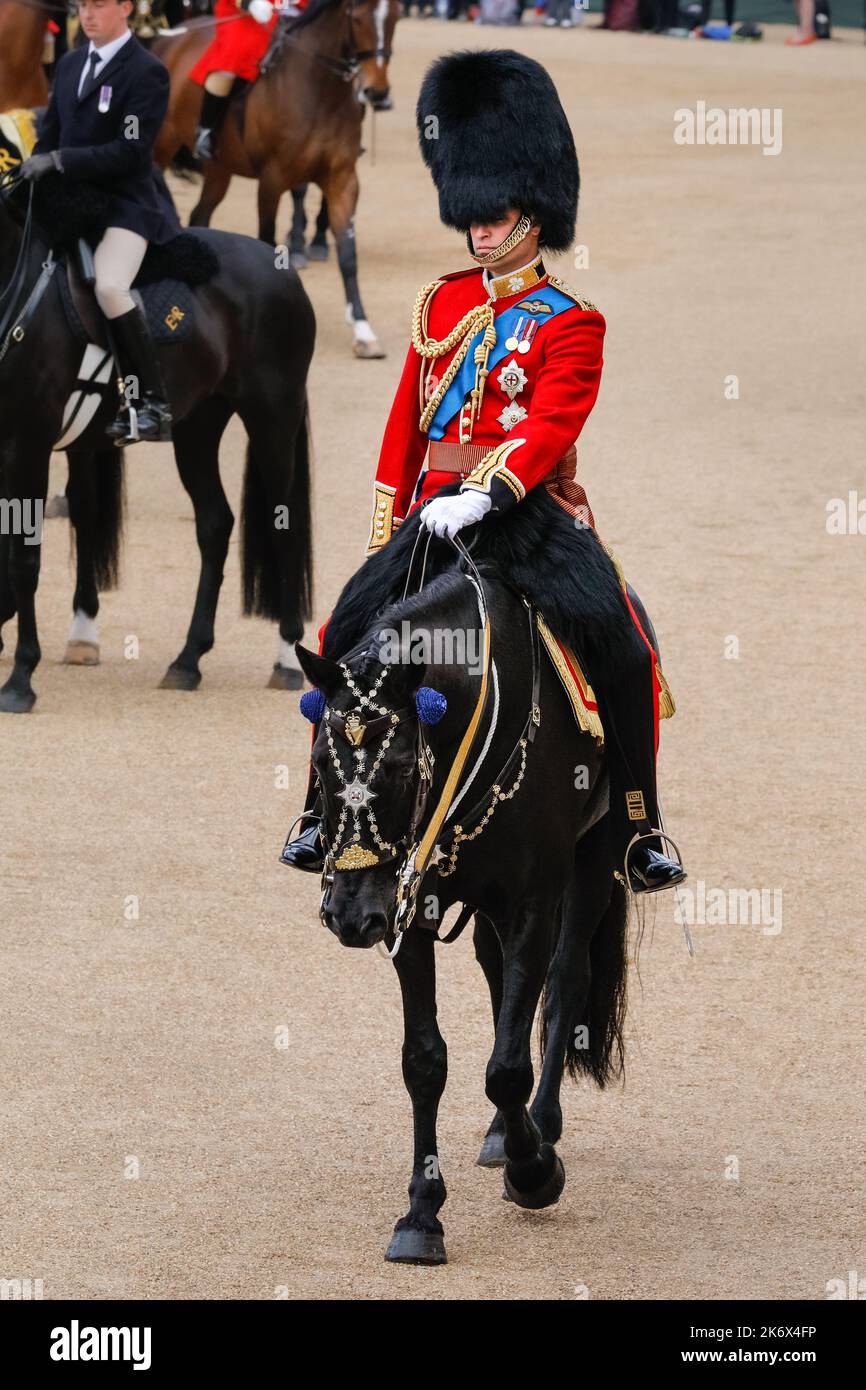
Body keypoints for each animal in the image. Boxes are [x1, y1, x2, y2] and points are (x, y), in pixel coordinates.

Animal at [0, 164, 316, 714]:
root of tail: (278, 265)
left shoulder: (28, 445)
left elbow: (24, 558)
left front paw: (20, 678)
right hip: (197, 428)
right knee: (215, 523)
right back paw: (188, 660)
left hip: (272, 417)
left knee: (285, 524)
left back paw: (286, 659)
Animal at [153, 0, 389, 358]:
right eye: (359, 18)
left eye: (393, 18)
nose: (376, 92)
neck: (320, 89)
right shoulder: (273, 180)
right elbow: (267, 241)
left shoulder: (343, 180)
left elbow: (348, 255)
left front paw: (363, 330)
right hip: (161, 147)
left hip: (220, 169)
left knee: (200, 215)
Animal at [291, 492, 661, 1264]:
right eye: (318, 761)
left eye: (404, 765)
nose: (350, 916)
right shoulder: (411, 903)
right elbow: (425, 1060)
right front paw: (420, 1214)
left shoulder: (533, 900)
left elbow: (507, 1065)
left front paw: (535, 1170)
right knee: (501, 980)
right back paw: (501, 1133)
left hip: (596, 856)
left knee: (566, 982)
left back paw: (539, 1127)